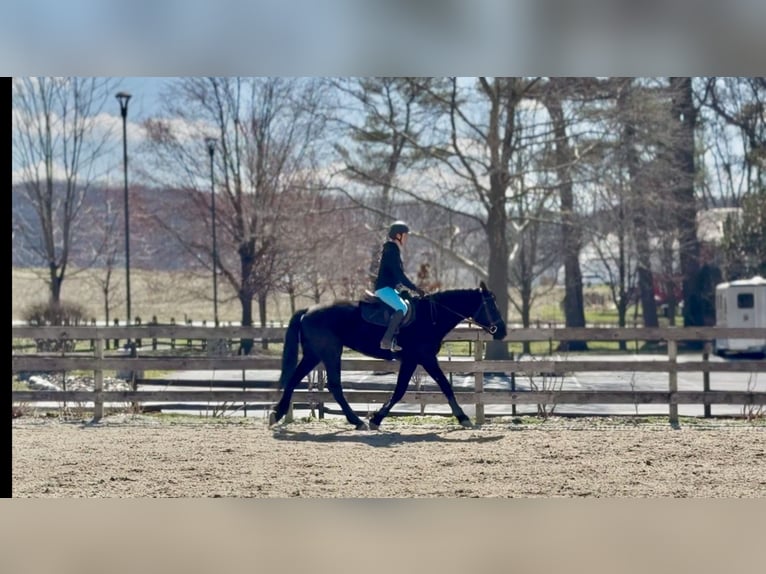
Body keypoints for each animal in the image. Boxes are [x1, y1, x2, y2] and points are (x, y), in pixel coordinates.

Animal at [268, 281, 507, 430]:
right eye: (491, 305)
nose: (502, 332)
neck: (431, 317)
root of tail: (308, 310)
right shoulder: (418, 358)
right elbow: (404, 390)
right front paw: (377, 419)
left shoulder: (423, 359)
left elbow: (443, 386)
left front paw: (463, 418)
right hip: (329, 352)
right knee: (333, 385)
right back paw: (357, 421)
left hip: (315, 354)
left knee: (297, 380)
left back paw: (278, 414)